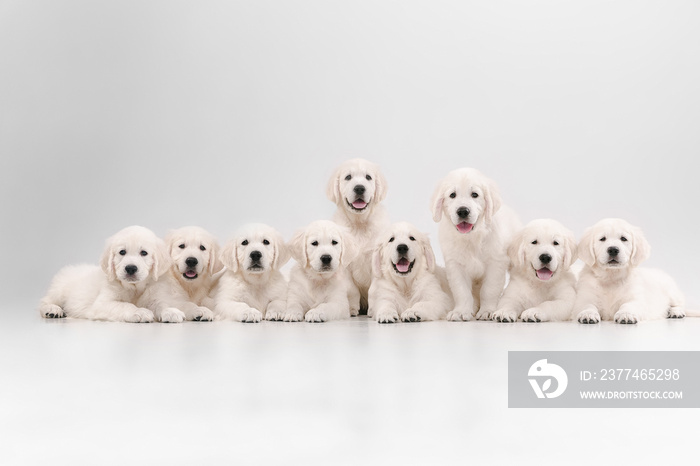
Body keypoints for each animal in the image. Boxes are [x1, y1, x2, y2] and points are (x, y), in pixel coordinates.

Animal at [38, 227, 170, 322]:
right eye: (122, 252)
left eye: (144, 253)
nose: (130, 268)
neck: (134, 288)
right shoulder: (102, 304)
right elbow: (124, 305)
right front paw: (139, 311)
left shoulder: (153, 295)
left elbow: (161, 304)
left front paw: (170, 311)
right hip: (59, 290)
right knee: (45, 301)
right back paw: (53, 310)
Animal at [326, 158, 392, 314]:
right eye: (348, 177)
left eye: (368, 177)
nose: (360, 188)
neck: (359, 224)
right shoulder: (345, 265)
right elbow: (352, 289)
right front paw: (352, 308)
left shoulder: (375, 260)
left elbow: (374, 289)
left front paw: (373, 309)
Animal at [430, 167, 524, 320]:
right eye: (452, 195)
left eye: (475, 194)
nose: (463, 211)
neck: (471, 238)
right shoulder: (455, 265)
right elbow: (461, 291)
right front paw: (461, 311)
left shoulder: (495, 263)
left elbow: (489, 289)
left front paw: (487, 310)